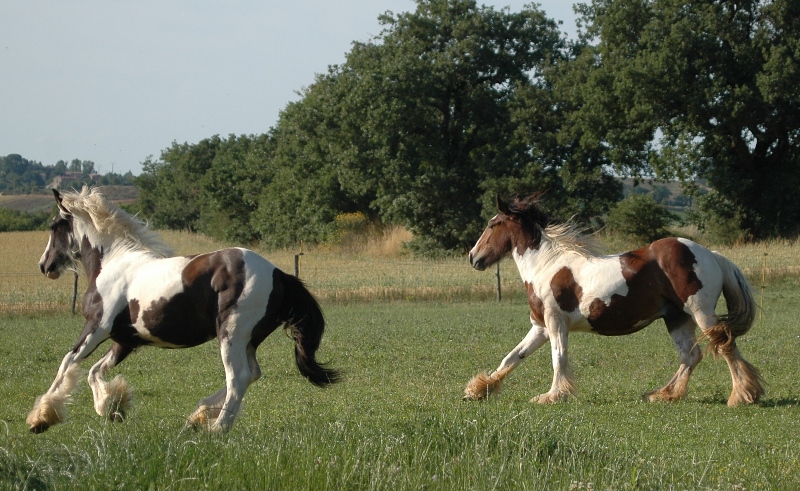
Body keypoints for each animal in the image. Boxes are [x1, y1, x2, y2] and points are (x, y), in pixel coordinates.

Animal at [28, 188, 340, 434]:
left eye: (54, 226)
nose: (44, 266)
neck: (113, 263)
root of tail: (279, 274)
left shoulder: (97, 327)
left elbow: (68, 363)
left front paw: (40, 419)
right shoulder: (125, 341)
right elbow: (94, 371)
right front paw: (112, 408)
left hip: (231, 334)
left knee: (238, 377)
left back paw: (216, 428)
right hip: (249, 339)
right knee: (252, 373)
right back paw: (198, 417)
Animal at [466, 195, 764, 408]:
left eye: (492, 224)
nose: (473, 257)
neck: (546, 265)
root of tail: (711, 254)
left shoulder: (555, 323)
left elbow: (558, 358)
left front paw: (551, 396)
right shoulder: (540, 327)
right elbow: (512, 357)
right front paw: (478, 389)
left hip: (701, 312)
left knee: (724, 346)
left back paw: (741, 395)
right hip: (677, 318)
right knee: (691, 355)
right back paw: (663, 395)